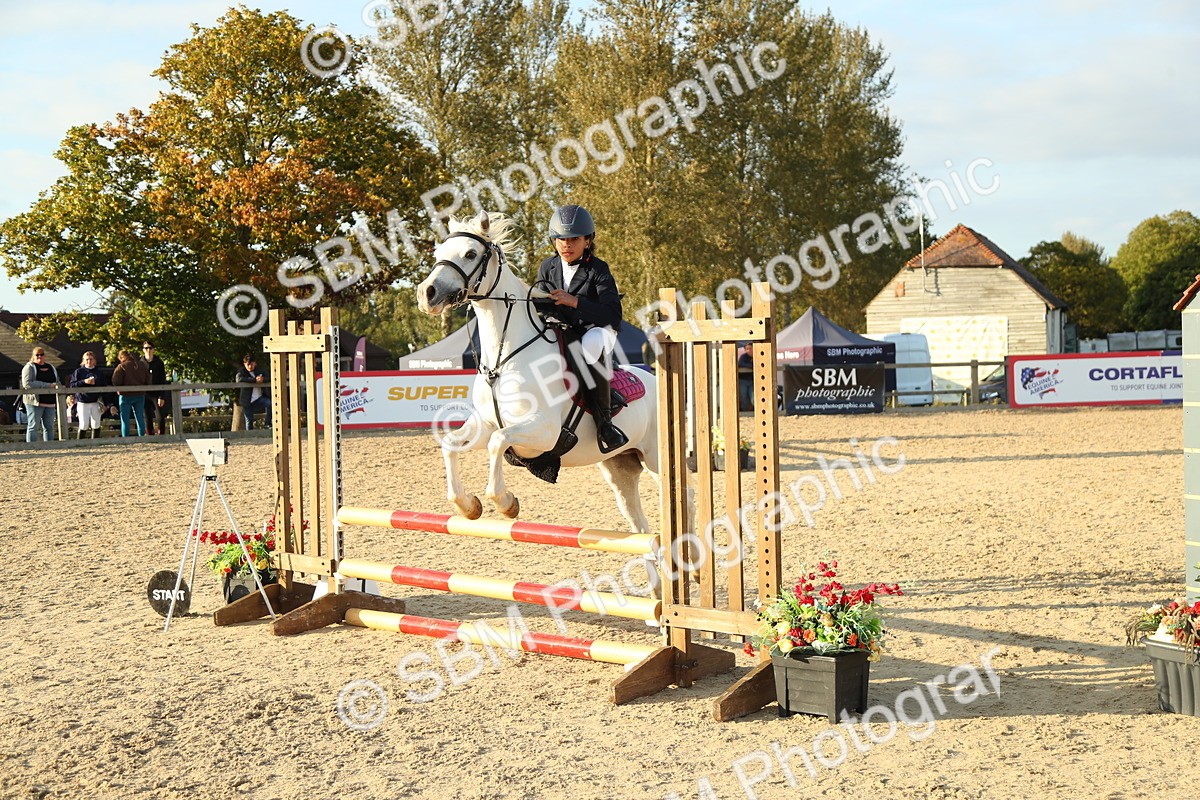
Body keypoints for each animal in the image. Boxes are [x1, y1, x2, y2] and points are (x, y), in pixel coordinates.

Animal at [415, 211, 659, 539]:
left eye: (470, 254)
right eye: (438, 254)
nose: (426, 294)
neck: (503, 359)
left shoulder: (544, 431)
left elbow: (498, 443)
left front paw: (506, 503)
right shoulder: (486, 424)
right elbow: (451, 444)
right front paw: (469, 506)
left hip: (658, 461)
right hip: (620, 467)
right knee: (641, 525)